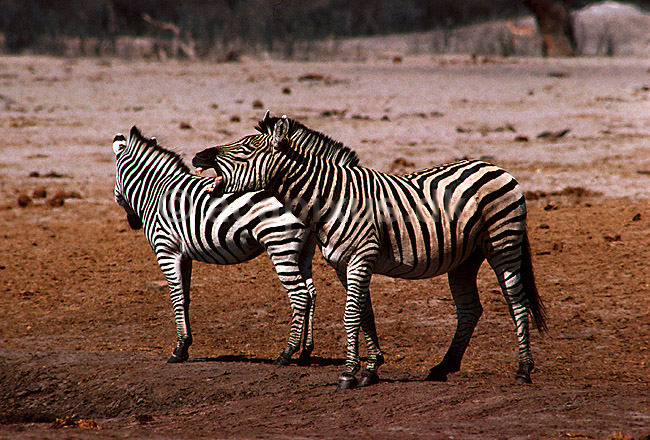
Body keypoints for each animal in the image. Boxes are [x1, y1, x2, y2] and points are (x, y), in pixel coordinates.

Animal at [113, 125, 321, 366]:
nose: (134, 223)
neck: (155, 192)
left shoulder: (166, 250)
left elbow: (176, 296)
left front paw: (178, 349)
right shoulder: (184, 255)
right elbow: (185, 296)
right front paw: (185, 346)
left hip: (280, 243)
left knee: (300, 295)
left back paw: (286, 353)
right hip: (304, 250)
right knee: (311, 293)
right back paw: (305, 352)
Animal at [192, 112, 547, 389]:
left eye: (247, 147)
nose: (198, 157)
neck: (333, 199)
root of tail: (496, 167)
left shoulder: (361, 258)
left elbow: (351, 316)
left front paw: (349, 373)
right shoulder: (342, 265)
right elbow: (365, 314)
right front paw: (371, 369)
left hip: (503, 242)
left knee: (517, 301)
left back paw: (523, 370)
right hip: (465, 257)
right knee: (470, 309)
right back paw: (443, 367)